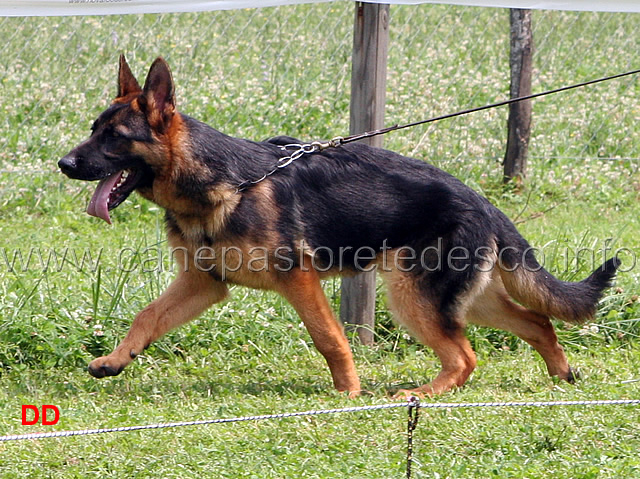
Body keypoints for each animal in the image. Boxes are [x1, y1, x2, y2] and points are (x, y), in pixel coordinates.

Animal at [60, 56, 620, 400]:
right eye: (93, 130)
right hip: (461, 298)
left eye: (115, 137)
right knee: (537, 321)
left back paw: (420, 393)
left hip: (413, 298)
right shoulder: (203, 283)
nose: (64, 164)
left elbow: (329, 338)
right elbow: (146, 317)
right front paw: (116, 360)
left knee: (465, 358)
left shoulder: (298, 280)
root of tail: (483, 201)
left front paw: (347, 393)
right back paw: (561, 375)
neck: (223, 181)